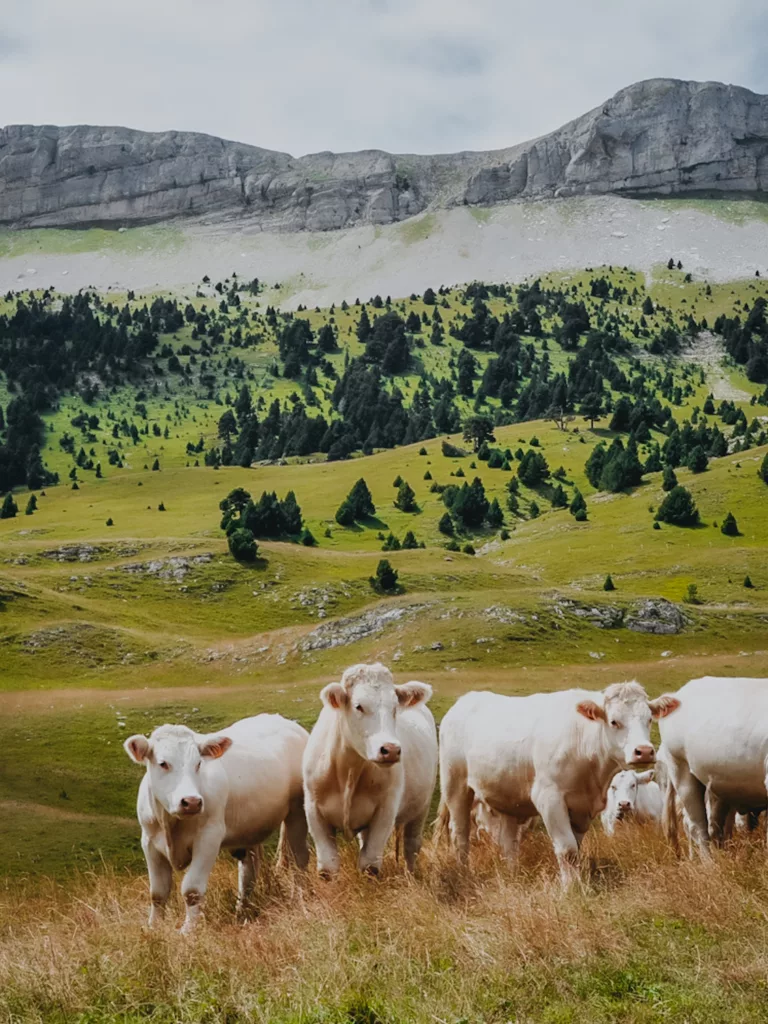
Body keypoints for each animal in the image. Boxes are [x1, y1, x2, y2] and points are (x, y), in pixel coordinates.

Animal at [124, 714, 309, 933]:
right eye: (163, 763)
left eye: (198, 764)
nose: (191, 801)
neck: (171, 824)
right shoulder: (150, 842)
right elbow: (158, 893)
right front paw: (153, 927)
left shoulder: (208, 838)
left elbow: (192, 890)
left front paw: (188, 930)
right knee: (249, 872)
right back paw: (241, 910)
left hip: (298, 814)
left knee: (299, 861)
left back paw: (298, 901)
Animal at [302, 662, 437, 876]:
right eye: (359, 706)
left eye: (395, 707)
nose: (391, 749)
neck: (349, 769)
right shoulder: (313, 810)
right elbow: (328, 867)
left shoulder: (386, 810)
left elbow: (370, 865)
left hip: (421, 808)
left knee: (411, 846)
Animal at [439, 681, 680, 885]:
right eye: (614, 721)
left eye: (649, 719)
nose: (644, 751)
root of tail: (466, 700)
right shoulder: (549, 798)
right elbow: (567, 849)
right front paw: (570, 890)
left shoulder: (583, 807)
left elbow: (576, 848)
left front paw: (576, 883)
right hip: (455, 786)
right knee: (460, 834)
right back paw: (463, 873)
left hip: (508, 797)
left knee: (508, 842)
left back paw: (512, 875)